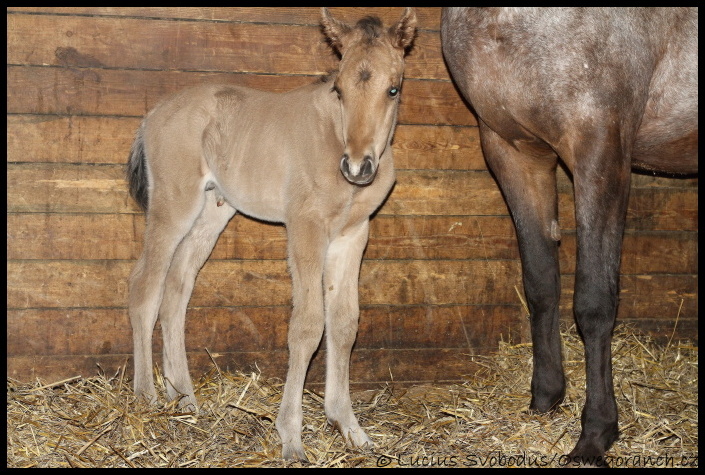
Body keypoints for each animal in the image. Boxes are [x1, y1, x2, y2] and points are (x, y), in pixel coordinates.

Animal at [126, 7, 416, 462]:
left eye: (393, 89)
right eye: (338, 89)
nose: (357, 166)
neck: (333, 138)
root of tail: (153, 113)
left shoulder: (352, 236)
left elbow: (344, 324)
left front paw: (350, 428)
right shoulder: (305, 228)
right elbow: (307, 326)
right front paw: (291, 438)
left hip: (212, 212)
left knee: (176, 289)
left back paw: (184, 397)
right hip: (174, 206)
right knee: (145, 287)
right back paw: (147, 397)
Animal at [442, 7, 696, 466]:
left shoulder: (600, 148)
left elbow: (594, 304)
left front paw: (595, 434)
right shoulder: (513, 150)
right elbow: (541, 284)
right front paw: (545, 398)